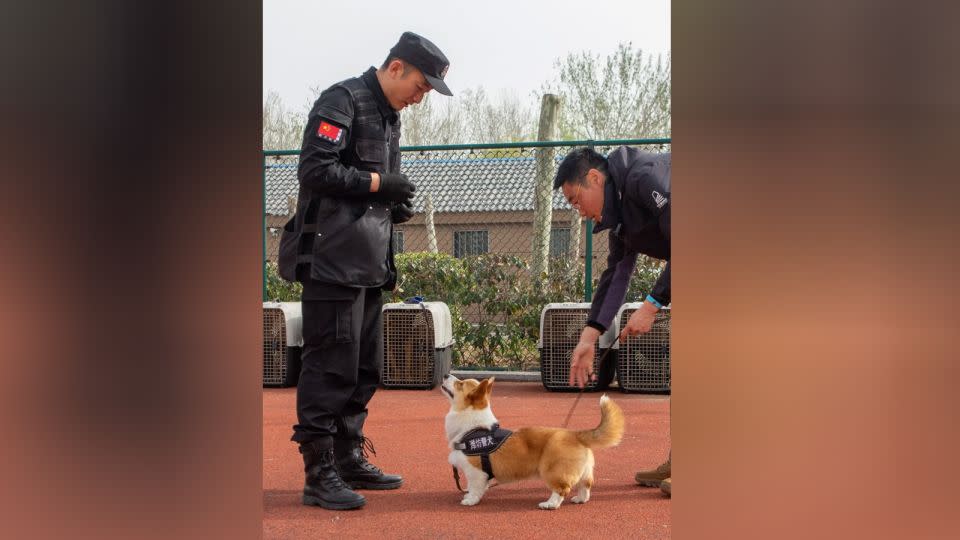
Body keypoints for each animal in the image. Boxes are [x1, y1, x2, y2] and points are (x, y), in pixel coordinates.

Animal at [440, 374, 628, 508]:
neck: (472, 424)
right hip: (584, 472)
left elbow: (474, 488)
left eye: (460, 384)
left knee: (562, 489)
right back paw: (579, 500)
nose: (445, 374)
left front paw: (470, 500)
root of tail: (576, 434)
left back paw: (549, 504)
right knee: (585, 486)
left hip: (553, 472)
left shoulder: (475, 472)